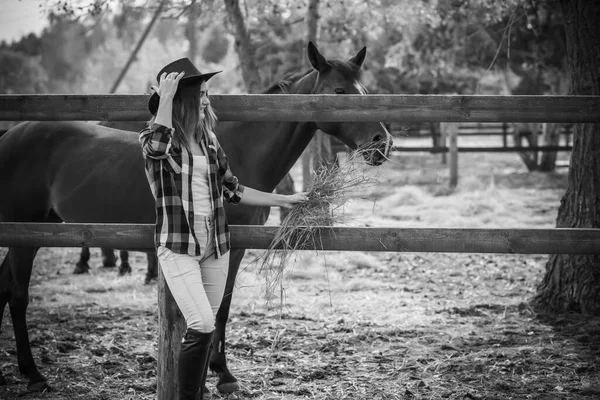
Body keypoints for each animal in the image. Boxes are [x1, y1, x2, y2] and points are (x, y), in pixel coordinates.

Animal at [0, 42, 394, 392]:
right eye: (339, 91)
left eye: (365, 91)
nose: (383, 142)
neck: (244, 149)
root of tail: (12, 134)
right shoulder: (230, 246)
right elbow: (216, 310)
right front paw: (219, 376)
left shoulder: (233, 247)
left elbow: (223, 306)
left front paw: (219, 371)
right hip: (26, 232)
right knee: (17, 293)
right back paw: (34, 376)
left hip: (37, 229)